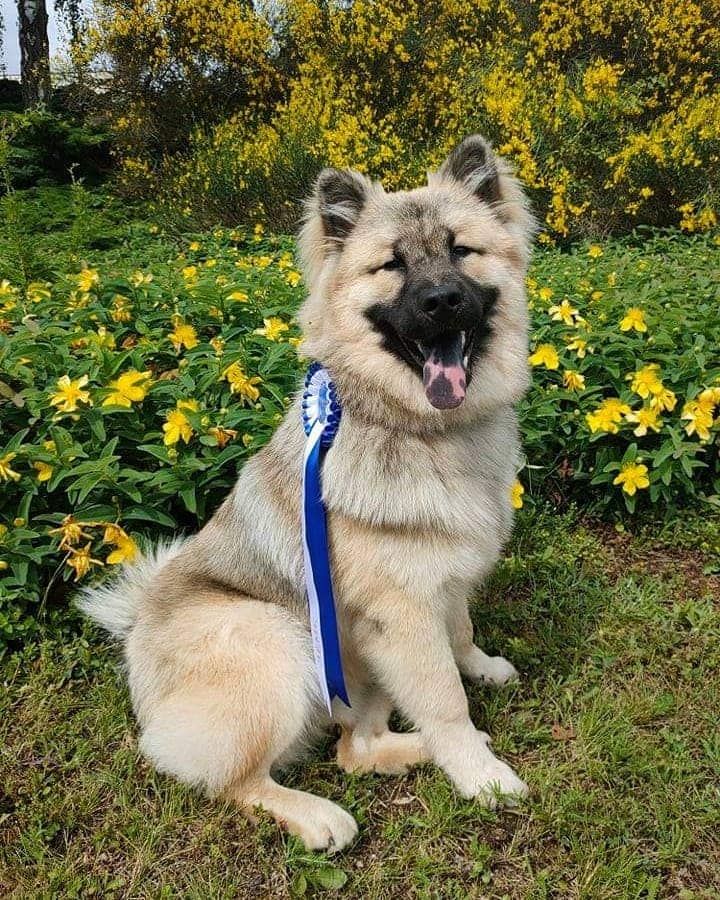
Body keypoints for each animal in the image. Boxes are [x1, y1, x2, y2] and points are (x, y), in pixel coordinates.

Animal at [81, 134, 536, 852]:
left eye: (462, 250)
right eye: (392, 265)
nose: (441, 301)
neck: (419, 426)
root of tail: (136, 627)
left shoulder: (445, 582)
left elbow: (461, 631)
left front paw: (482, 667)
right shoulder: (403, 614)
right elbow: (445, 700)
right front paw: (479, 774)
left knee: (356, 749)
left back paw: (412, 752)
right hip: (279, 638)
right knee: (241, 778)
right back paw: (319, 814)